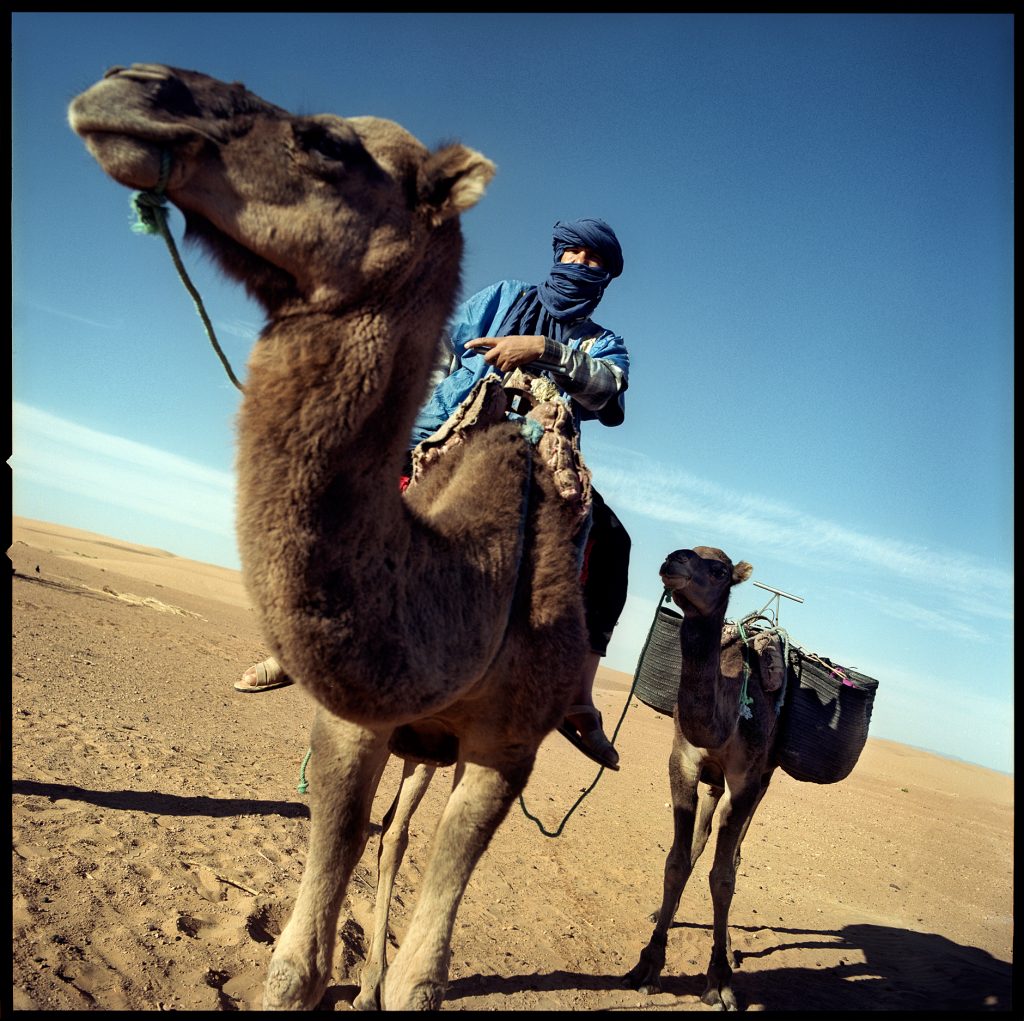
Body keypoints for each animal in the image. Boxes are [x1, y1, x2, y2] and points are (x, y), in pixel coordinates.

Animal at [70, 63, 593, 1011]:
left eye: (328, 142)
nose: (132, 84)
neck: (472, 578)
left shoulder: (507, 751)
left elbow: (424, 976)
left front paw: (398, 978)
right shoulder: (356, 721)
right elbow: (296, 961)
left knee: (402, 839)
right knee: (390, 834)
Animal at [622, 544, 782, 1007]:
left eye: (720, 570)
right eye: (689, 548)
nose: (674, 559)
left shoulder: (746, 780)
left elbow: (724, 877)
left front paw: (720, 980)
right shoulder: (683, 761)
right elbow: (677, 860)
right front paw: (647, 964)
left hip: (764, 779)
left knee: (734, 854)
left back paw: (726, 945)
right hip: (712, 783)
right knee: (701, 839)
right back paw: (666, 911)